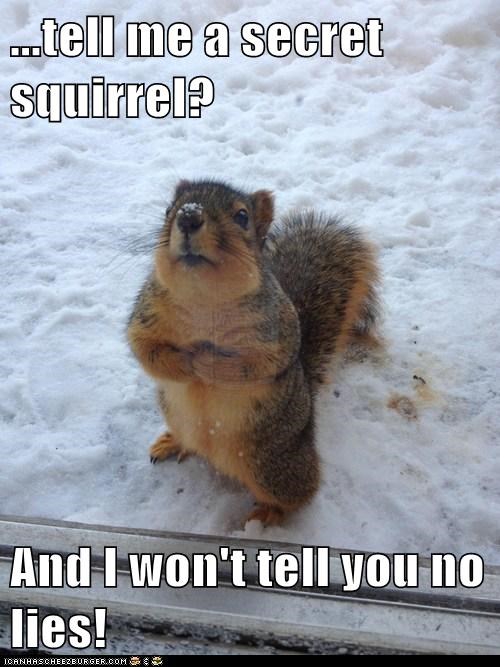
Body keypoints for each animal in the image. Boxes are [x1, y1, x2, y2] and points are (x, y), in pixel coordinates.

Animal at [127, 179, 380, 526]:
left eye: (242, 217)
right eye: (169, 208)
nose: (188, 217)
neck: (203, 298)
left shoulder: (278, 331)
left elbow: (258, 365)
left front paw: (208, 363)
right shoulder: (146, 314)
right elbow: (144, 348)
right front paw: (186, 362)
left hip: (272, 467)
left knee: (302, 493)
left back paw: (268, 514)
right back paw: (173, 443)